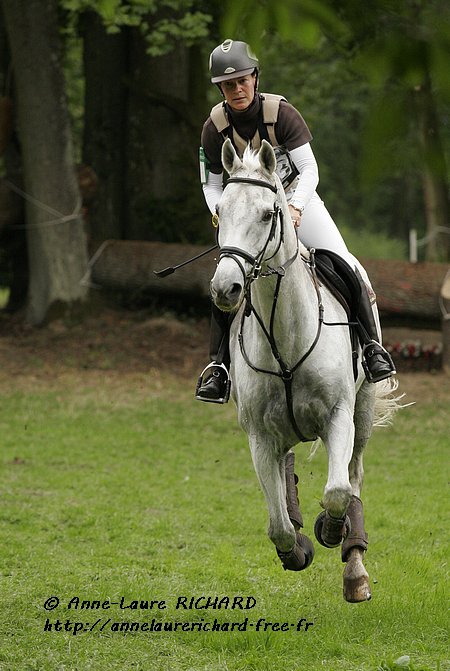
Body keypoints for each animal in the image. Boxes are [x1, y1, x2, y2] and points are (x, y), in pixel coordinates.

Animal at [209, 139, 400, 600]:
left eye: (268, 213)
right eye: (221, 209)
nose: (225, 288)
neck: (286, 335)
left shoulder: (339, 417)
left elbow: (337, 492)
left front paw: (329, 531)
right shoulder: (259, 435)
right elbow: (277, 524)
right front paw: (296, 549)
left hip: (364, 409)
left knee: (353, 476)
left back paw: (354, 570)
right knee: (287, 468)